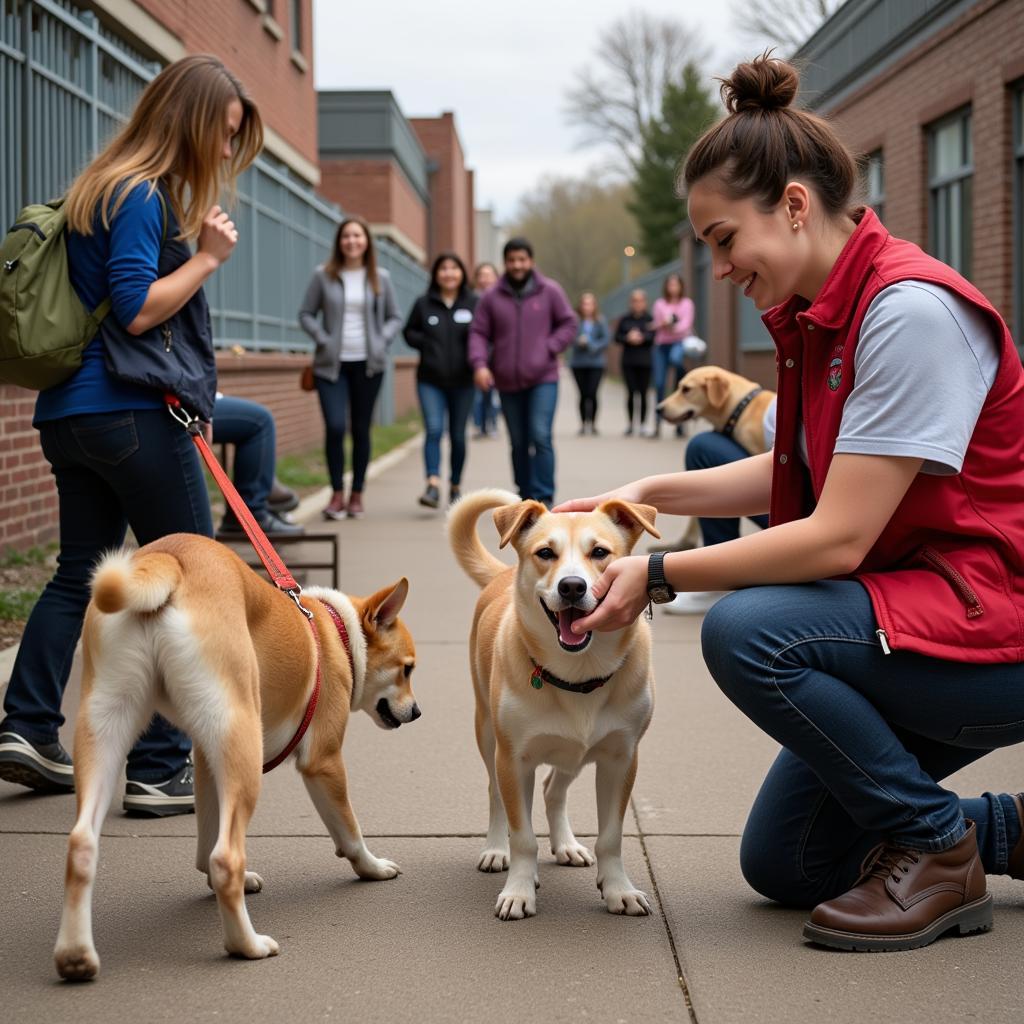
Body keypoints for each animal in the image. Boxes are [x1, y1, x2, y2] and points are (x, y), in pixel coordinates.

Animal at [54, 532, 415, 978]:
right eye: (407, 670)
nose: (417, 711)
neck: (336, 634)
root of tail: (170, 558)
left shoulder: (209, 761)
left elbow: (205, 843)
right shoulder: (324, 761)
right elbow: (349, 831)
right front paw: (371, 867)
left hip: (108, 727)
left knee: (82, 844)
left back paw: (75, 956)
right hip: (242, 740)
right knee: (227, 858)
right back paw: (247, 945)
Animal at [446, 487, 655, 921]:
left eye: (599, 552)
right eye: (545, 552)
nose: (572, 586)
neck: (578, 673)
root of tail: (502, 575)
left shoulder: (621, 759)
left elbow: (611, 837)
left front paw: (618, 889)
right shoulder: (514, 760)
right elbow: (523, 836)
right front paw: (519, 891)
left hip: (574, 753)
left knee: (553, 789)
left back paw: (567, 844)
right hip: (487, 733)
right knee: (495, 793)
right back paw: (496, 849)